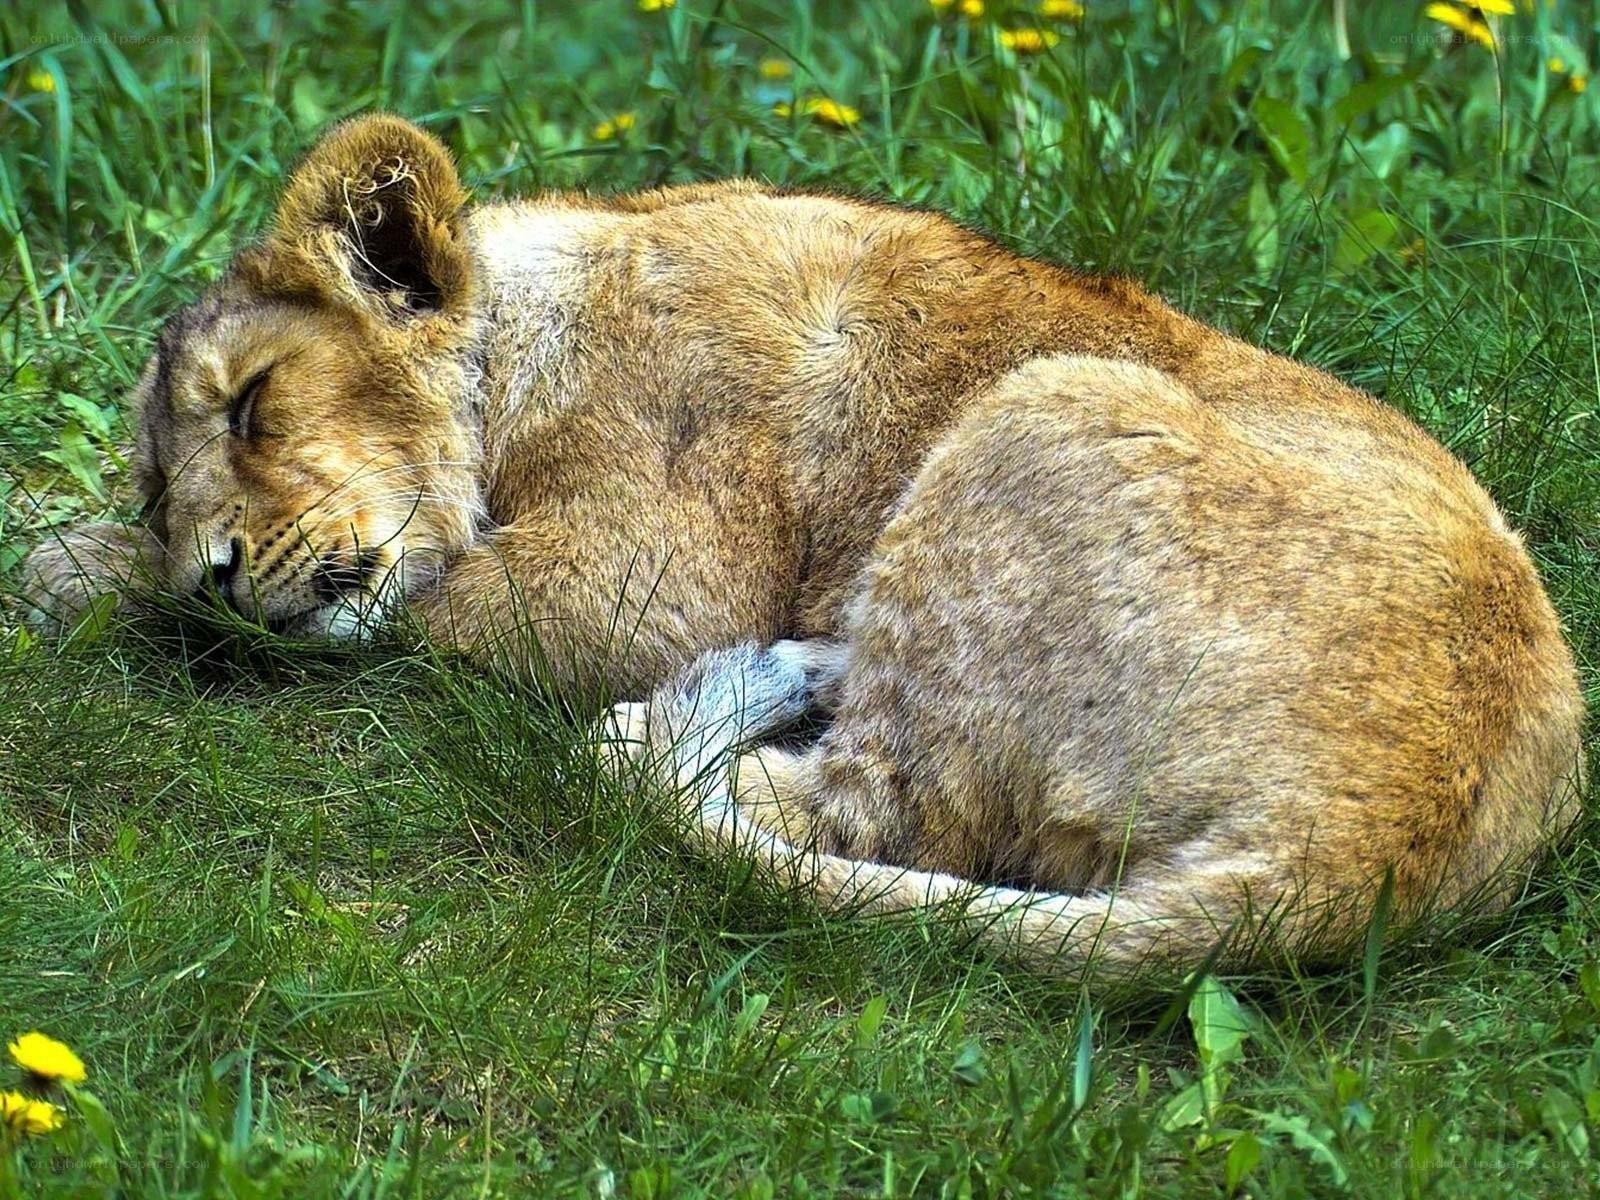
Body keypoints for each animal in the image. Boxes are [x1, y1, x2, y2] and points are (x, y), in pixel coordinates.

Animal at [17, 114, 1585, 975]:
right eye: (160, 487)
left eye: (256, 404)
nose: (213, 574)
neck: (531, 332)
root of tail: (1379, 842)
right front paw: (89, 563)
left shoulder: (642, 581)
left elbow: (417, 614)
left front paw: (82, 578)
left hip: (1048, 406)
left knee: (832, 810)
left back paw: (734, 700)